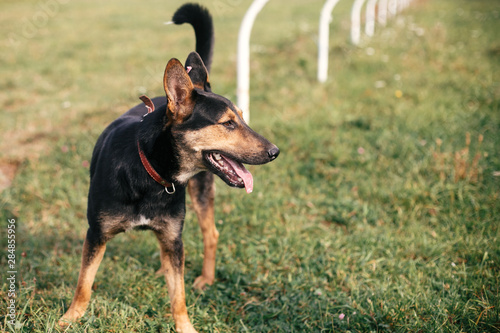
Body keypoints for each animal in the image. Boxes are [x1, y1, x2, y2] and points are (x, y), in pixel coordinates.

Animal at [59, 3, 280, 332]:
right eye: (228, 123)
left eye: (242, 117)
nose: (275, 152)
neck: (151, 171)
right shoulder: (96, 233)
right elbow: (84, 282)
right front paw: (70, 318)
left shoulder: (174, 238)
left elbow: (179, 297)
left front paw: (185, 326)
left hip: (198, 198)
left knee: (210, 235)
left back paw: (205, 278)